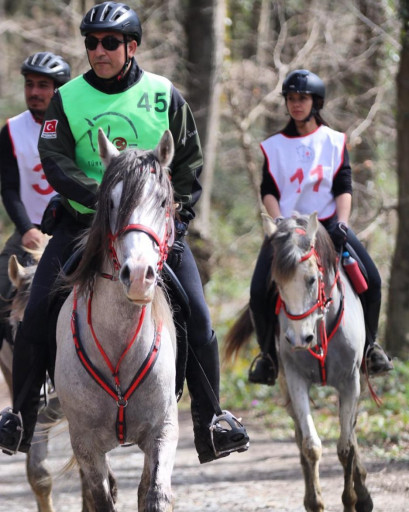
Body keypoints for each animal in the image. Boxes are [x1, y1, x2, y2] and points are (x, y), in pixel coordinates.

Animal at [54, 129, 177, 512]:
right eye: (110, 203)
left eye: (164, 202)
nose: (138, 275)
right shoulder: (86, 444)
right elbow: (101, 496)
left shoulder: (163, 431)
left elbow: (154, 494)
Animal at [225, 212, 372, 512]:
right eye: (276, 283)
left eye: (312, 279)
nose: (298, 339)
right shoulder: (295, 380)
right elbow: (310, 445)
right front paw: (315, 502)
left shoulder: (350, 382)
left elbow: (346, 447)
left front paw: (351, 500)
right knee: (299, 434)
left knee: (350, 431)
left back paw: (362, 493)